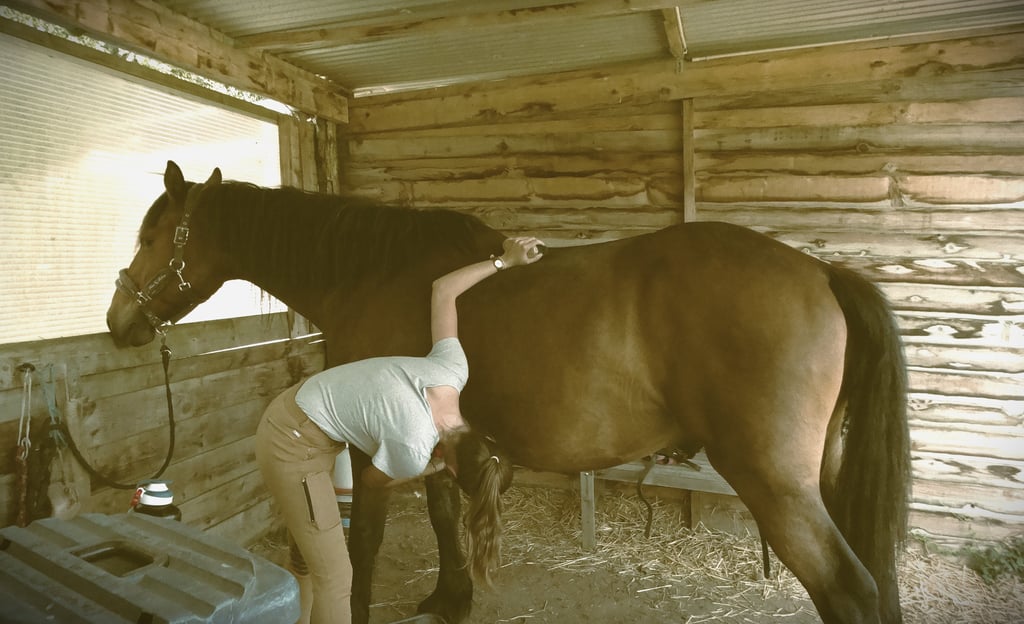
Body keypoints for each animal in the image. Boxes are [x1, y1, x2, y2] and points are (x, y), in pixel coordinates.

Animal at [106, 161, 911, 624]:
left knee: (849, 590)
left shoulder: (372, 451)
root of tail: (821, 272)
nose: (118, 323)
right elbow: (442, 521)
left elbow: (364, 546)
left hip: (775, 485)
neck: (372, 273)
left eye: (152, 236)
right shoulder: (433, 443)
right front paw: (449, 599)